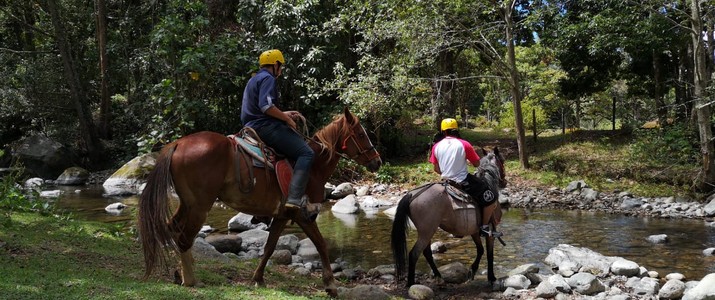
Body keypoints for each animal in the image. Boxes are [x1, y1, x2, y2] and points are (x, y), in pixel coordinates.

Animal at [136, 107, 380, 296]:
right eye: (360, 133)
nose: (377, 161)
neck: (314, 167)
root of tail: (178, 144)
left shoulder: (282, 215)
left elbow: (270, 247)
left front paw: (258, 278)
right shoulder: (303, 214)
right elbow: (321, 244)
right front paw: (330, 285)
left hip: (187, 204)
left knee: (172, 229)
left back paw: (179, 273)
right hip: (199, 206)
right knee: (184, 237)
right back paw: (189, 279)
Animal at [392, 146, 510, 288]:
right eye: (503, 161)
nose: (504, 182)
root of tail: (411, 195)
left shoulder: (475, 231)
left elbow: (480, 250)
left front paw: (472, 270)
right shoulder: (491, 231)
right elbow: (489, 254)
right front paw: (491, 277)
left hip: (427, 232)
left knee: (427, 253)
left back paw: (439, 276)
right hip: (427, 231)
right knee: (414, 254)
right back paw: (411, 283)